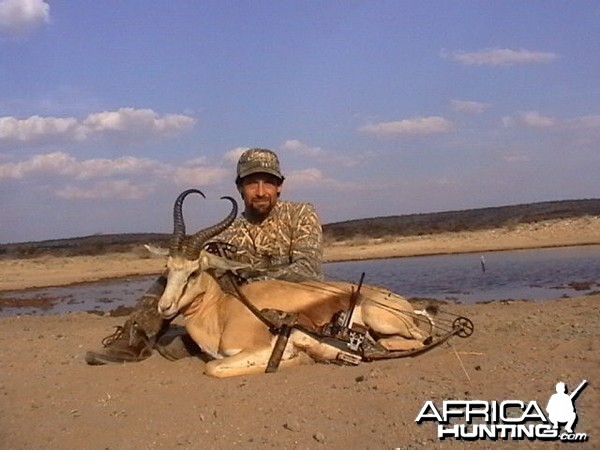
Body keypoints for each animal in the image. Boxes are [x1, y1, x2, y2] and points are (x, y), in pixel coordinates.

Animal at [157, 188, 432, 378]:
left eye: (194, 272)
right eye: (167, 268)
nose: (164, 306)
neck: (222, 312)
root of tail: (401, 302)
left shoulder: (256, 349)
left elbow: (213, 367)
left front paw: (301, 357)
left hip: (379, 319)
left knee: (421, 337)